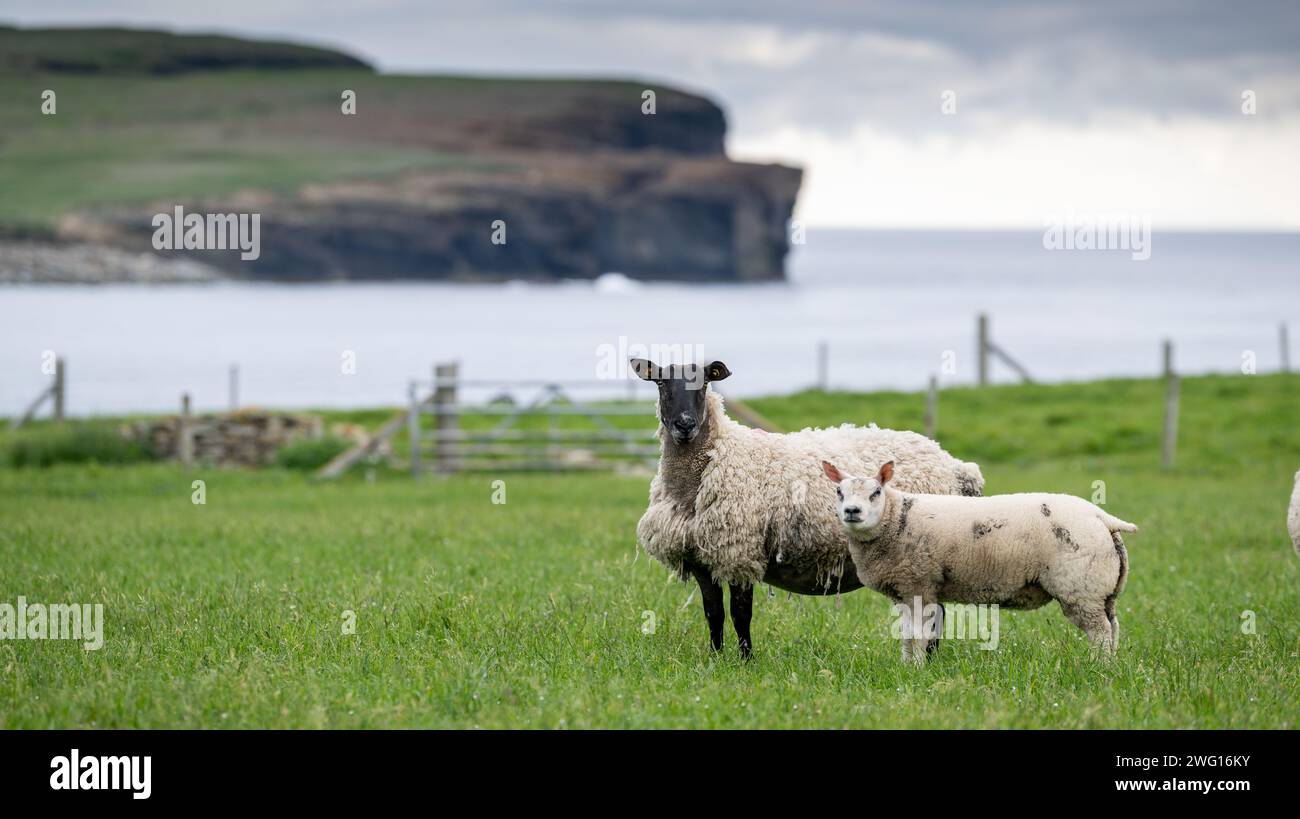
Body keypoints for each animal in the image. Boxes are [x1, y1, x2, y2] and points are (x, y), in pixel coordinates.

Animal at [631, 358, 982, 660]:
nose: (684, 425)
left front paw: (745, 661)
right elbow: (713, 613)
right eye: (661, 382)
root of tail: (954, 465)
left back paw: (929, 660)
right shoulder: (701, 557)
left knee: (933, 613)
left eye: (704, 383)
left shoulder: (740, 550)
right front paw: (716, 660)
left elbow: (741, 614)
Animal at [821, 460, 1138, 665]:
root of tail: (1103, 517)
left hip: (1081, 587)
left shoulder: (919, 585)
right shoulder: (904, 591)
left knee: (1100, 632)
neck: (895, 518)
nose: (852, 511)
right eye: (839, 492)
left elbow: (919, 636)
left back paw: (1096, 666)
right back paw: (1111, 666)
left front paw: (918, 670)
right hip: (1103, 591)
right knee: (1114, 627)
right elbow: (906, 635)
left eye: (875, 492)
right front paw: (905, 667)